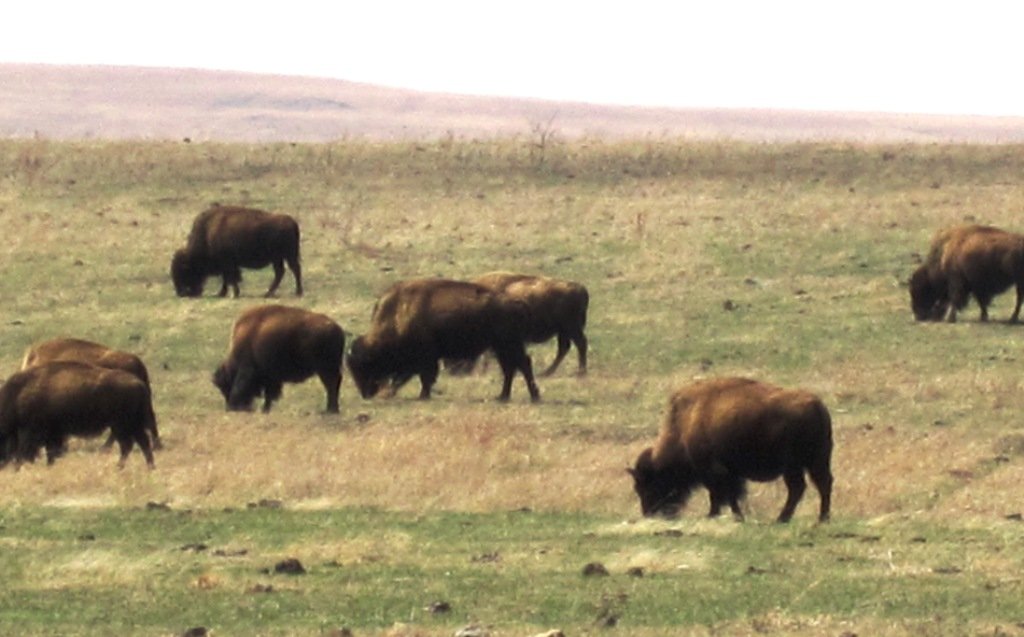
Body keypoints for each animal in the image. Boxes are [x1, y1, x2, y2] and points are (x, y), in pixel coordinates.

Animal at [0, 361, 157, 469]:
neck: (17, 395)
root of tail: (139, 383)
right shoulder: (52, 433)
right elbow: (50, 451)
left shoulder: (32, 431)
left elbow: (30, 451)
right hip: (128, 425)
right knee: (140, 443)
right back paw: (145, 468)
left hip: (122, 425)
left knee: (130, 444)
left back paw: (124, 467)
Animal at [171, 204, 303, 298]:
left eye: (183, 270)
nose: (181, 293)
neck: (207, 233)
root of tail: (291, 221)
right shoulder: (227, 265)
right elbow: (227, 279)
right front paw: (222, 293)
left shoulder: (228, 263)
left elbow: (231, 278)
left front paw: (233, 294)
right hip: (279, 258)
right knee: (282, 272)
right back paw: (270, 293)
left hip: (286, 255)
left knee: (293, 269)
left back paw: (294, 292)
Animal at [212, 304, 344, 413]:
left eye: (224, 386)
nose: (230, 407)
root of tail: (338, 329)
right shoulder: (271, 377)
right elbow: (269, 394)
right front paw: (265, 409)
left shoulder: (248, 369)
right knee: (334, 385)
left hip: (325, 369)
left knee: (331, 385)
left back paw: (330, 410)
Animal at [347, 277, 541, 402]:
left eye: (363, 367)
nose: (365, 394)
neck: (397, 315)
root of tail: (516, 302)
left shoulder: (425, 358)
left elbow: (424, 377)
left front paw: (422, 395)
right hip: (502, 347)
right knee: (511, 368)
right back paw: (503, 396)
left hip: (508, 345)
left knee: (521, 364)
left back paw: (532, 396)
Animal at [628, 377, 833, 523]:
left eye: (646, 485)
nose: (649, 513)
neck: (683, 427)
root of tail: (816, 405)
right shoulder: (731, 473)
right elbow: (731, 495)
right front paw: (736, 516)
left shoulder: (713, 472)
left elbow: (719, 495)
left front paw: (714, 515)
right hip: (817, 461)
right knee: (823, 484)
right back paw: (821, 519)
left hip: (793, 466)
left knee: (798, 488)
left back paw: (783, 519)